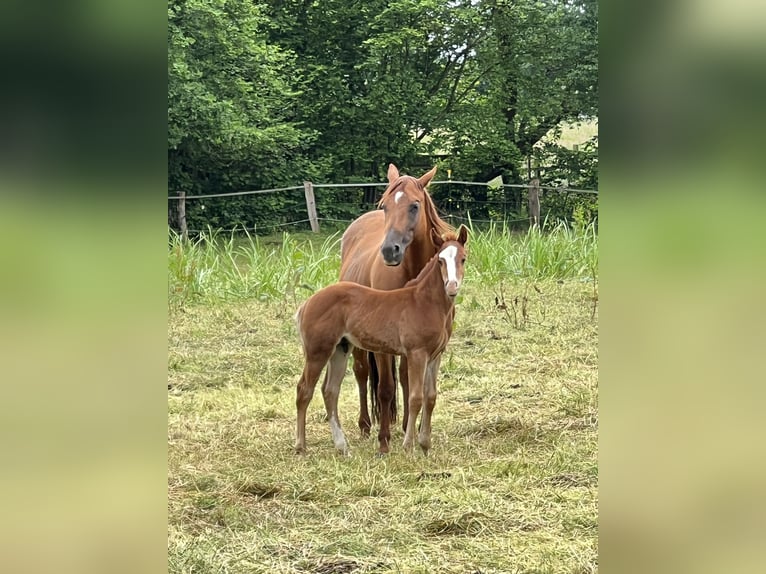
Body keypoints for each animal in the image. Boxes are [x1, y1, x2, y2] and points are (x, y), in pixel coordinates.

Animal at [295, 226, 469, 455]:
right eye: (440, 260)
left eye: (463, 258)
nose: (451, 287)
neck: (424, 302)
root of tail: (307, 304)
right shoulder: (417, 353)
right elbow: (415, 397)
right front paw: (408, 446)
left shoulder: (435, 355)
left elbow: (430, 397)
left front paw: (425, 444)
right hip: (318, 352)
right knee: (304, 390)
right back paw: (300, 446)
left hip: (340, 349)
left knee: (330, 391)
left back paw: (342, 446)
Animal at [335, 163, 453, 454]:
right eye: (385, 205)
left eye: (414, 205)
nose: (390, 251)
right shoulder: (383, 346)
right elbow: (385, 388)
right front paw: (384, 440)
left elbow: (408, 382)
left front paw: (407, 429)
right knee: (362, 373)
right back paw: (366, 425)